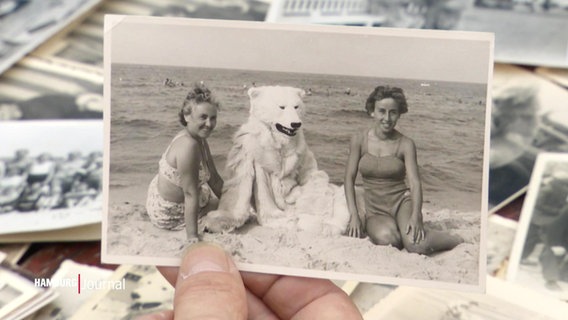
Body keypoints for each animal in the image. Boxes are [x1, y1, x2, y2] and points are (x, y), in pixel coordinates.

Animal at [200, 85, 350, 235]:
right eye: (281, 107)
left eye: (296, 106)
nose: (296, 124)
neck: (278, 138)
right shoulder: (247, 148)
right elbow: (239, 184)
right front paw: (218, 220)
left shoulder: (301, 148)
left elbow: (308, 172)